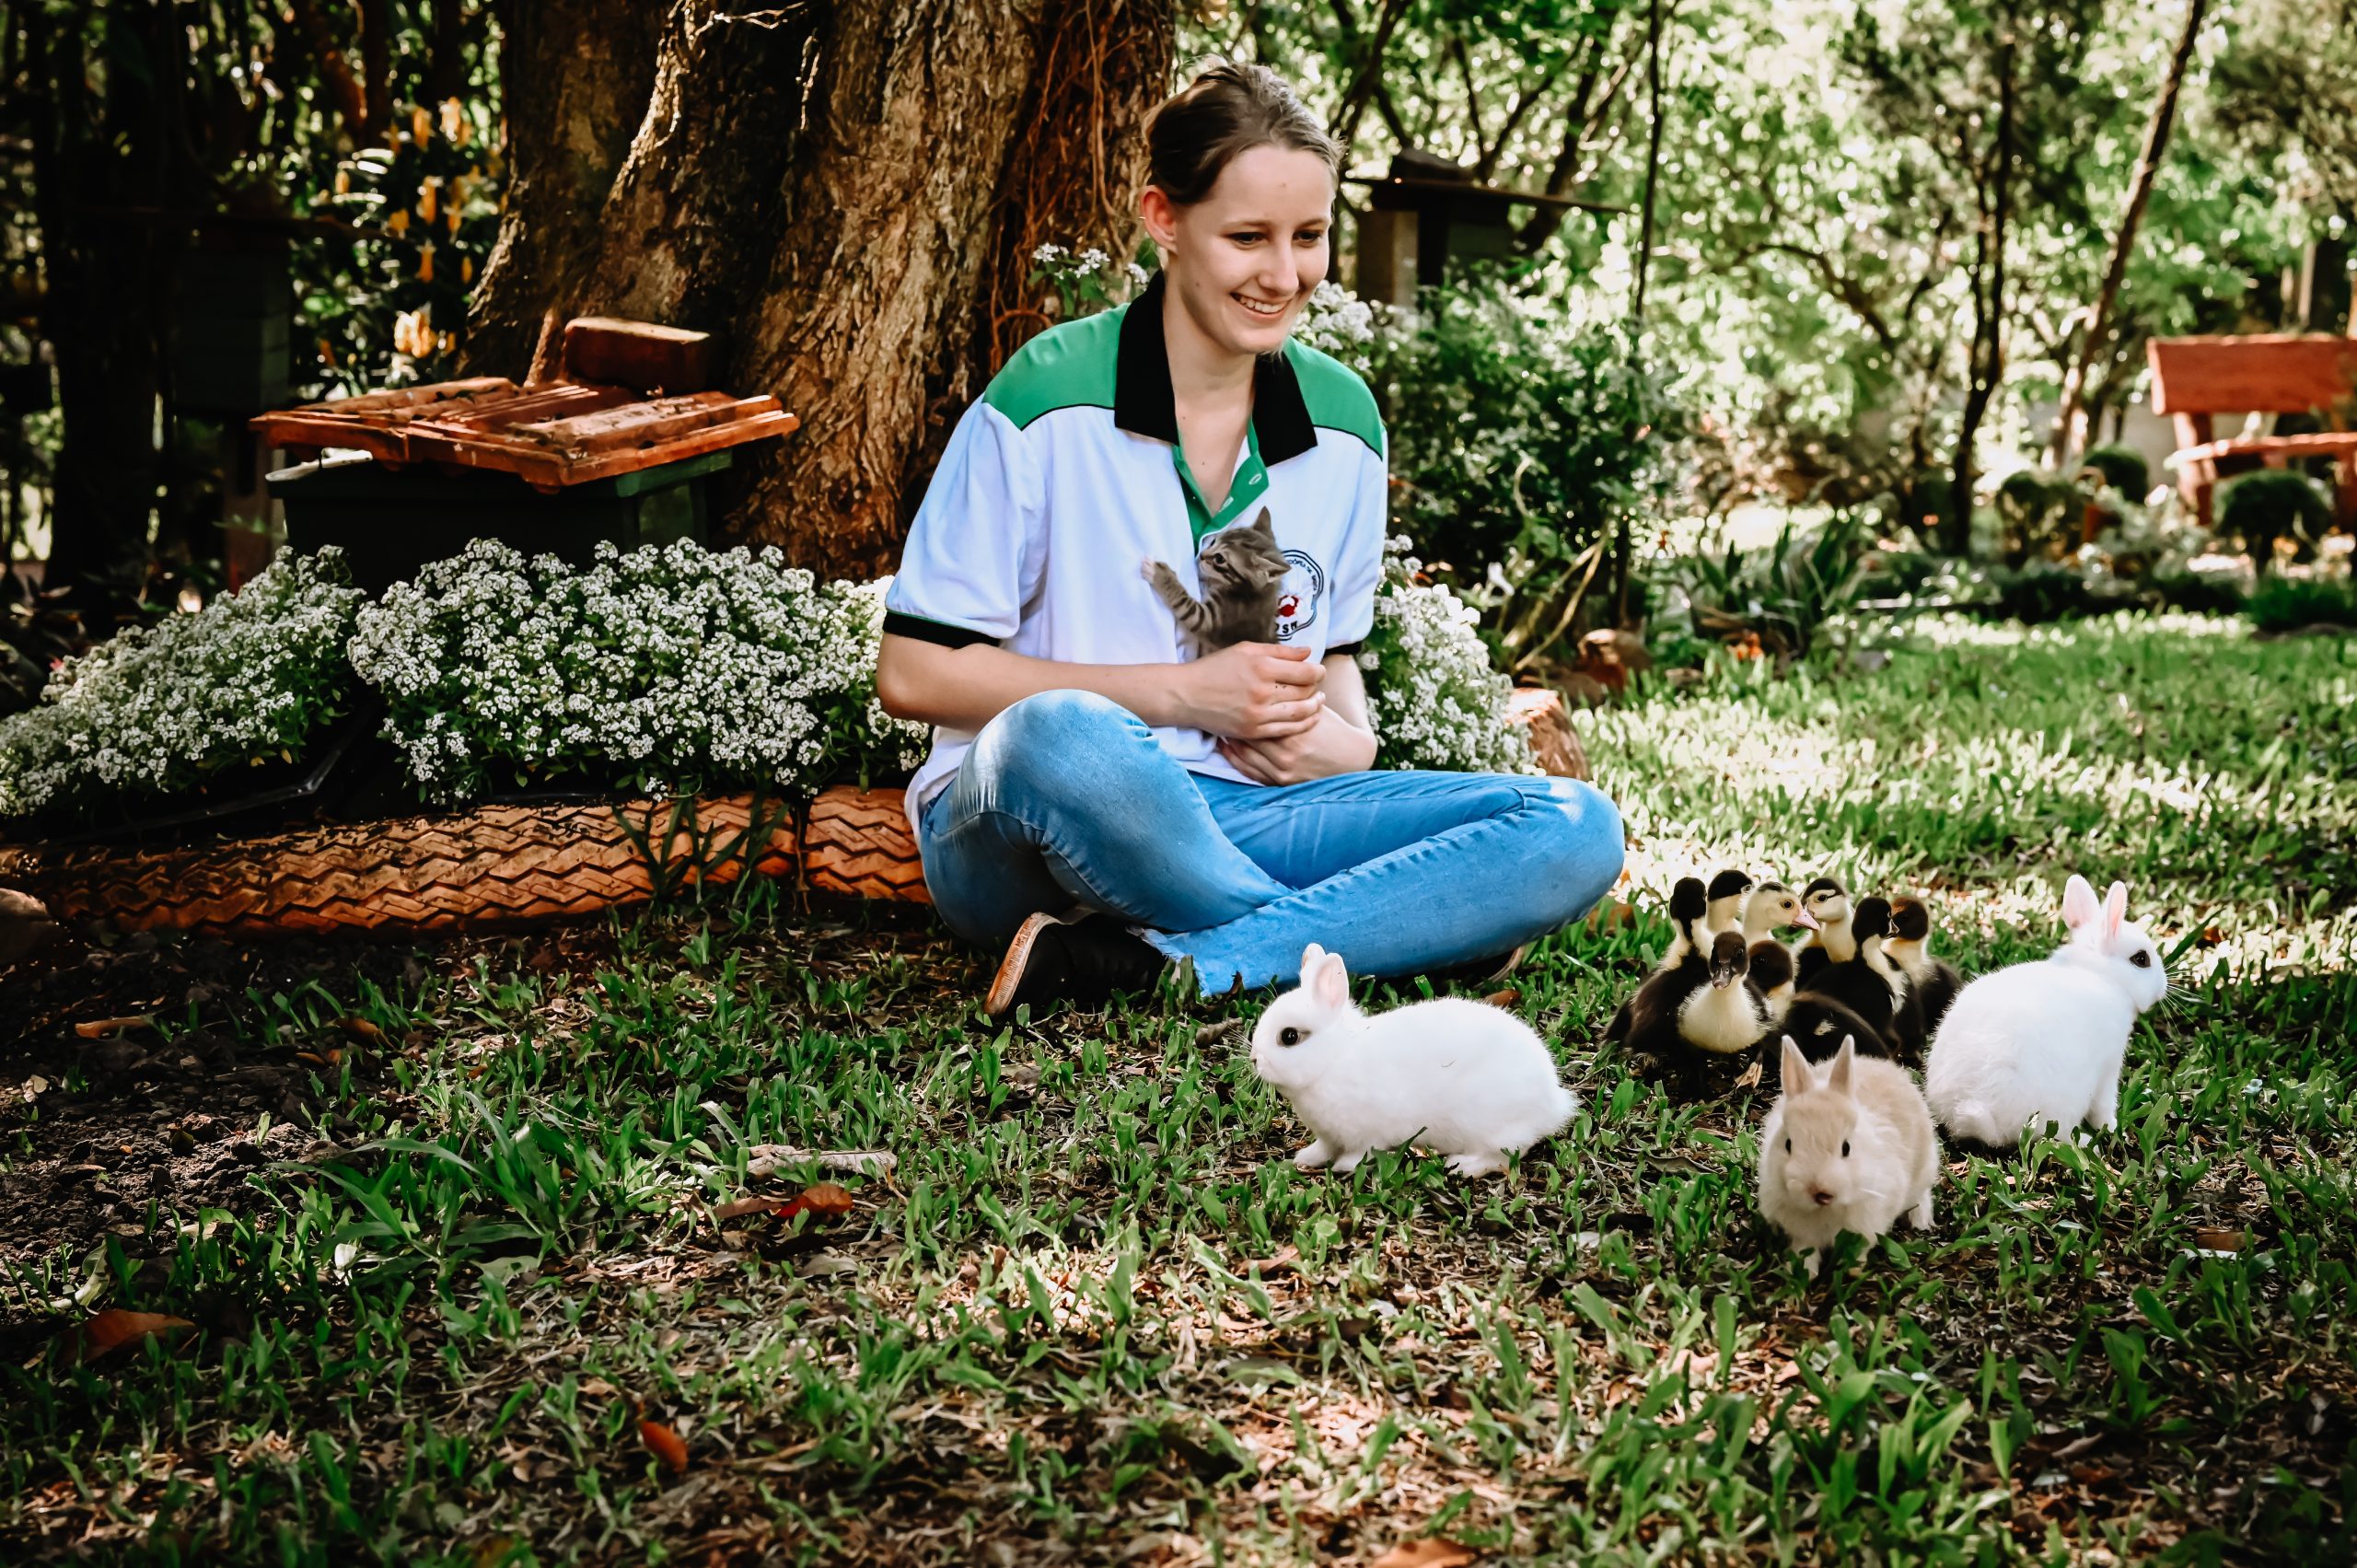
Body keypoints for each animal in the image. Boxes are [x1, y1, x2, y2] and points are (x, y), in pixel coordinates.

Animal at [1141, 508, 1291, 651]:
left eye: (1219, 559)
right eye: (1213, 542)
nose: (1201, 555)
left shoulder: (1208, 620)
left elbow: (1182, 599)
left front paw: (1158, 572)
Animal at [1253, 943, 1578, 1178]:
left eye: (1289, 1037)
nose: (1255, 1059)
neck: (1334, 1059)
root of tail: (1554, 1104)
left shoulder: (1368, 1133)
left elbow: (1360, 1153)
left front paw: (1345, 1167)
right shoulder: (1329, 1136)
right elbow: (1323, 1149)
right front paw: (1305, 1158)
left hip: (1489, 1125)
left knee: (1502, 1156)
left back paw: (1463, 1166)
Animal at [1757, 1034, 1940, 1278]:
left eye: (1846, 1148)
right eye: (1788, 1144)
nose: (1819, 1192)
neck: (1825, 1211)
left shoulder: (1868, 1223)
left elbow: (1860, 1248)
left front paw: (1853, 1270)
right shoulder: (1802, 1233)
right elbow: (1805, 1248)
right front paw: (1802, 1272)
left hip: (1925, 1167)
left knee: (1922, 1194)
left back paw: (1920, 1220)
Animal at [1923, 875, 2168, 1147]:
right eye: (2141, 959)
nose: (2163, 987)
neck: (2102, 974)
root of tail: (1979, 1115)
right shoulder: (2109, 1066)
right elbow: (2103, 1108)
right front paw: (2114, 1128)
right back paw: (2085, 1142)